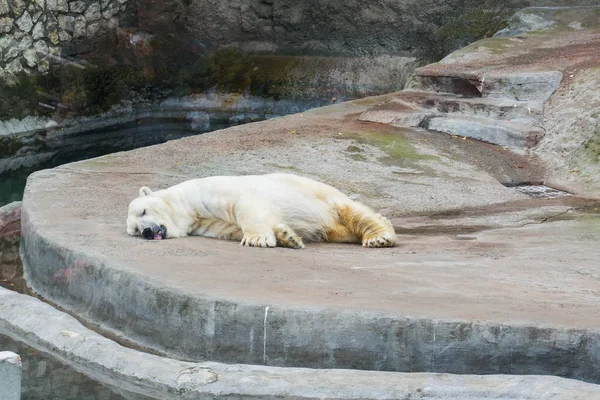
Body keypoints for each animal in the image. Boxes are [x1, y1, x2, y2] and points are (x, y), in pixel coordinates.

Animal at [126, 173, 396, 248]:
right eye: (135, 231)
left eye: (143, 212)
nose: (147, 232)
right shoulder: (206, 223)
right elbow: (230, 228)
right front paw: (287, 237)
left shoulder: (209, 193)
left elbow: (245, 206)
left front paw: (257, 239)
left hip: (322, 197)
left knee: (351, 211)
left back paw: (379, 236)